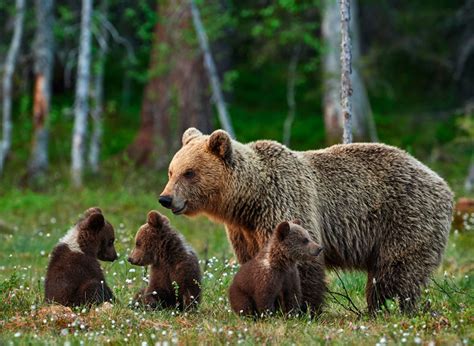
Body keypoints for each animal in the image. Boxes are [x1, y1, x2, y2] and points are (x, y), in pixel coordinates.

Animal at [159, 128, 452, 314]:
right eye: (171, 171)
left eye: (189, 172)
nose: (166, 198)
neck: (249, 200)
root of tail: (442, 182)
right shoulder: (244, 230)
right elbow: (254, 260)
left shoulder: (284, 202)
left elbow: (300, 261)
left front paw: (302, 309)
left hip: (406, 217)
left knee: (396, 269)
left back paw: (387, 307)